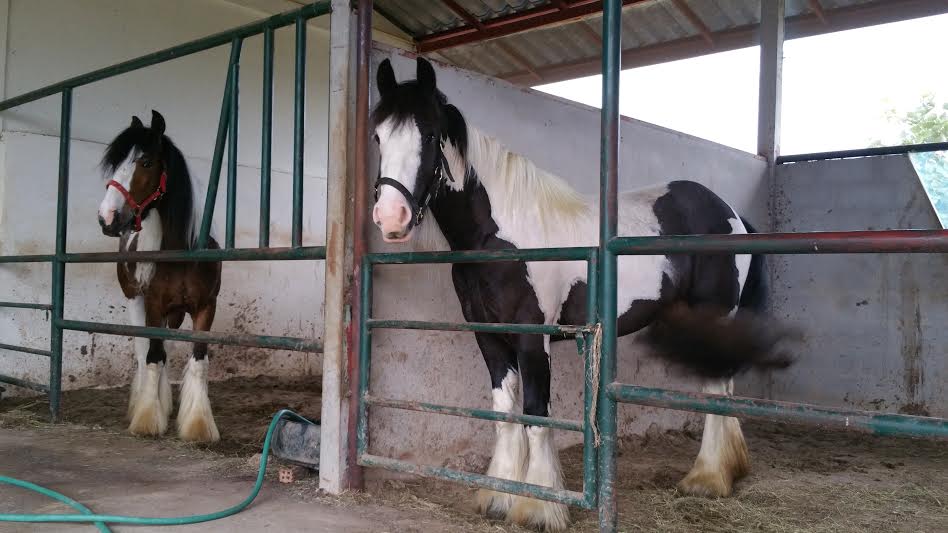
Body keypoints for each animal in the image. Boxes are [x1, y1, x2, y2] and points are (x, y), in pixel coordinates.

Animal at [97, 110, 222, 443]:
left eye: (146, 162)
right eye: (117, 162)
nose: (107, 218)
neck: (182, 254)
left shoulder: (206, 307)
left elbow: (199, 360)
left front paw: (197, 424)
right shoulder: (152, 304)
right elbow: (153, 357)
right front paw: (148, 418)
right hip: (136, 301)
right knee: (146, 353)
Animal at [370, 57, 795, 532]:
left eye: (428, 134)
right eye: (378, 136)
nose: (391, 217)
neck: (502, 235)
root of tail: (730, 214)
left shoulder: (532, 338)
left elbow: (536, 416)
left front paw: (538, 506)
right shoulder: (489, 336)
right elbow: (504, 415)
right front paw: (498, 496)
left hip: (715, 315)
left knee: (716, 390)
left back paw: (707, 479)